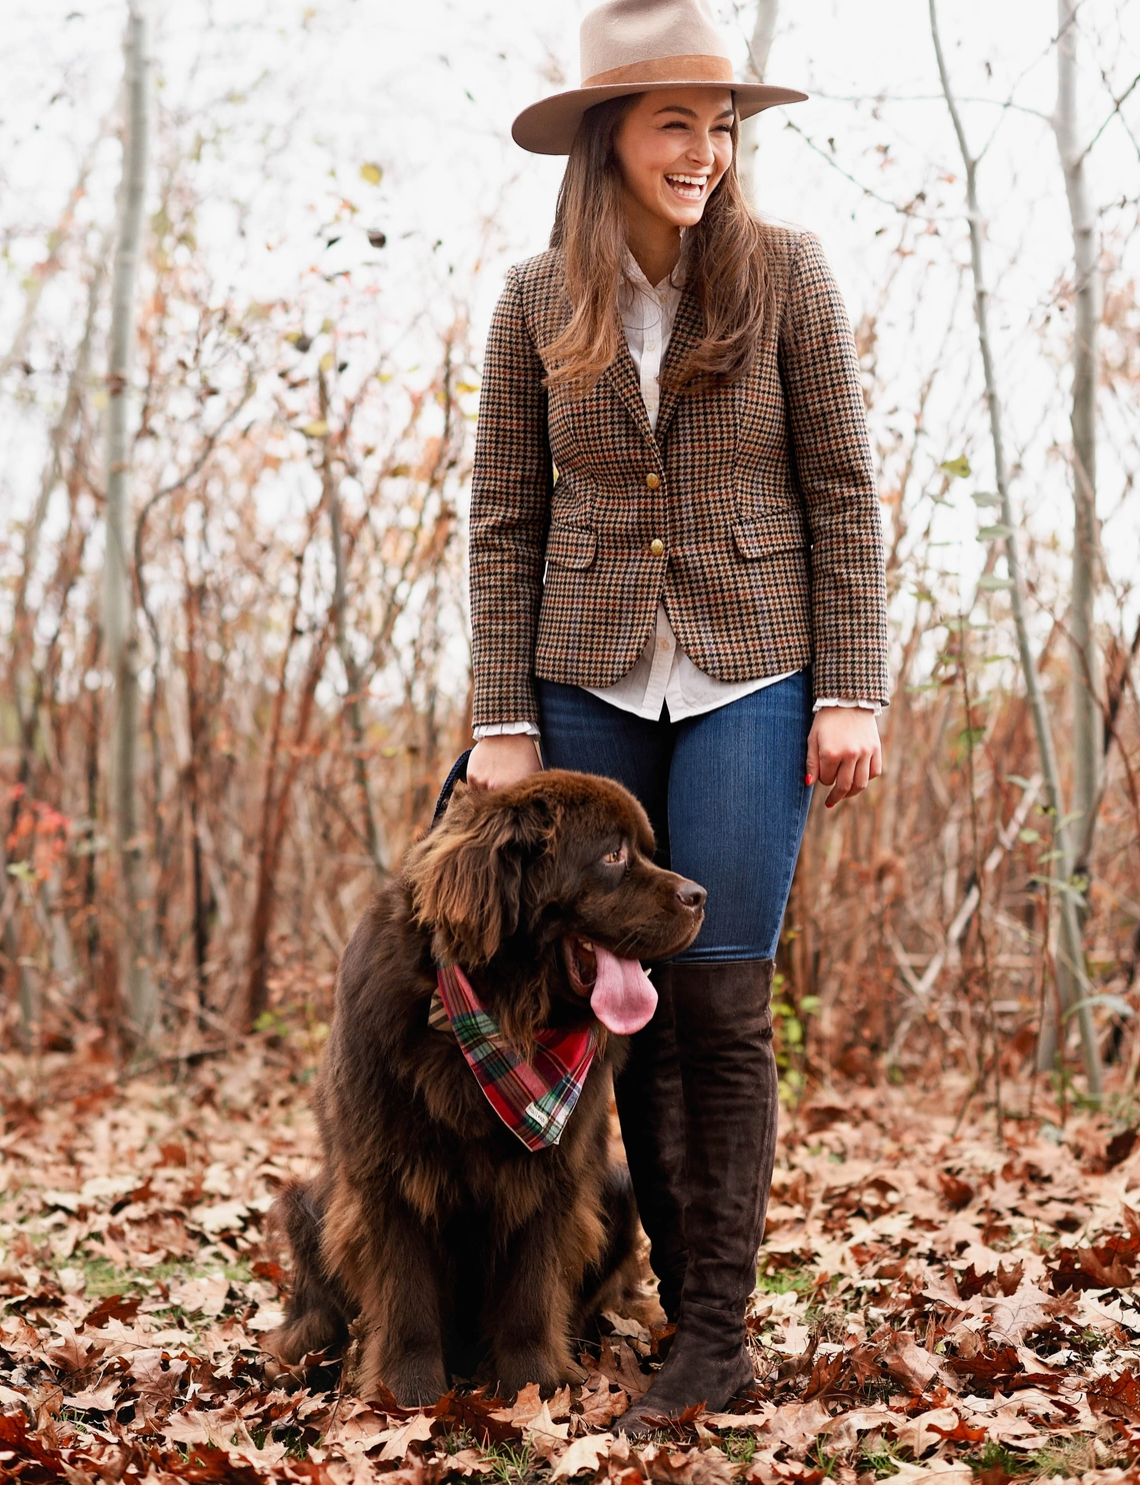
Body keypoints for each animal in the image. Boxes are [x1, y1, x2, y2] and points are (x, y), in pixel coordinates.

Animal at [267, 766, 704, 1402]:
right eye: (614, 855)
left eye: (648, 852)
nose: (700, 896)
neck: (502, 1015)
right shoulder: (386, 1173)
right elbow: (406, 1295)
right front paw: (409, 1393)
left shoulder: (554, 1172)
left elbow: (531, 1292)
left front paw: (536, 1386)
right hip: (306, 1205)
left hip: (619, 1192)